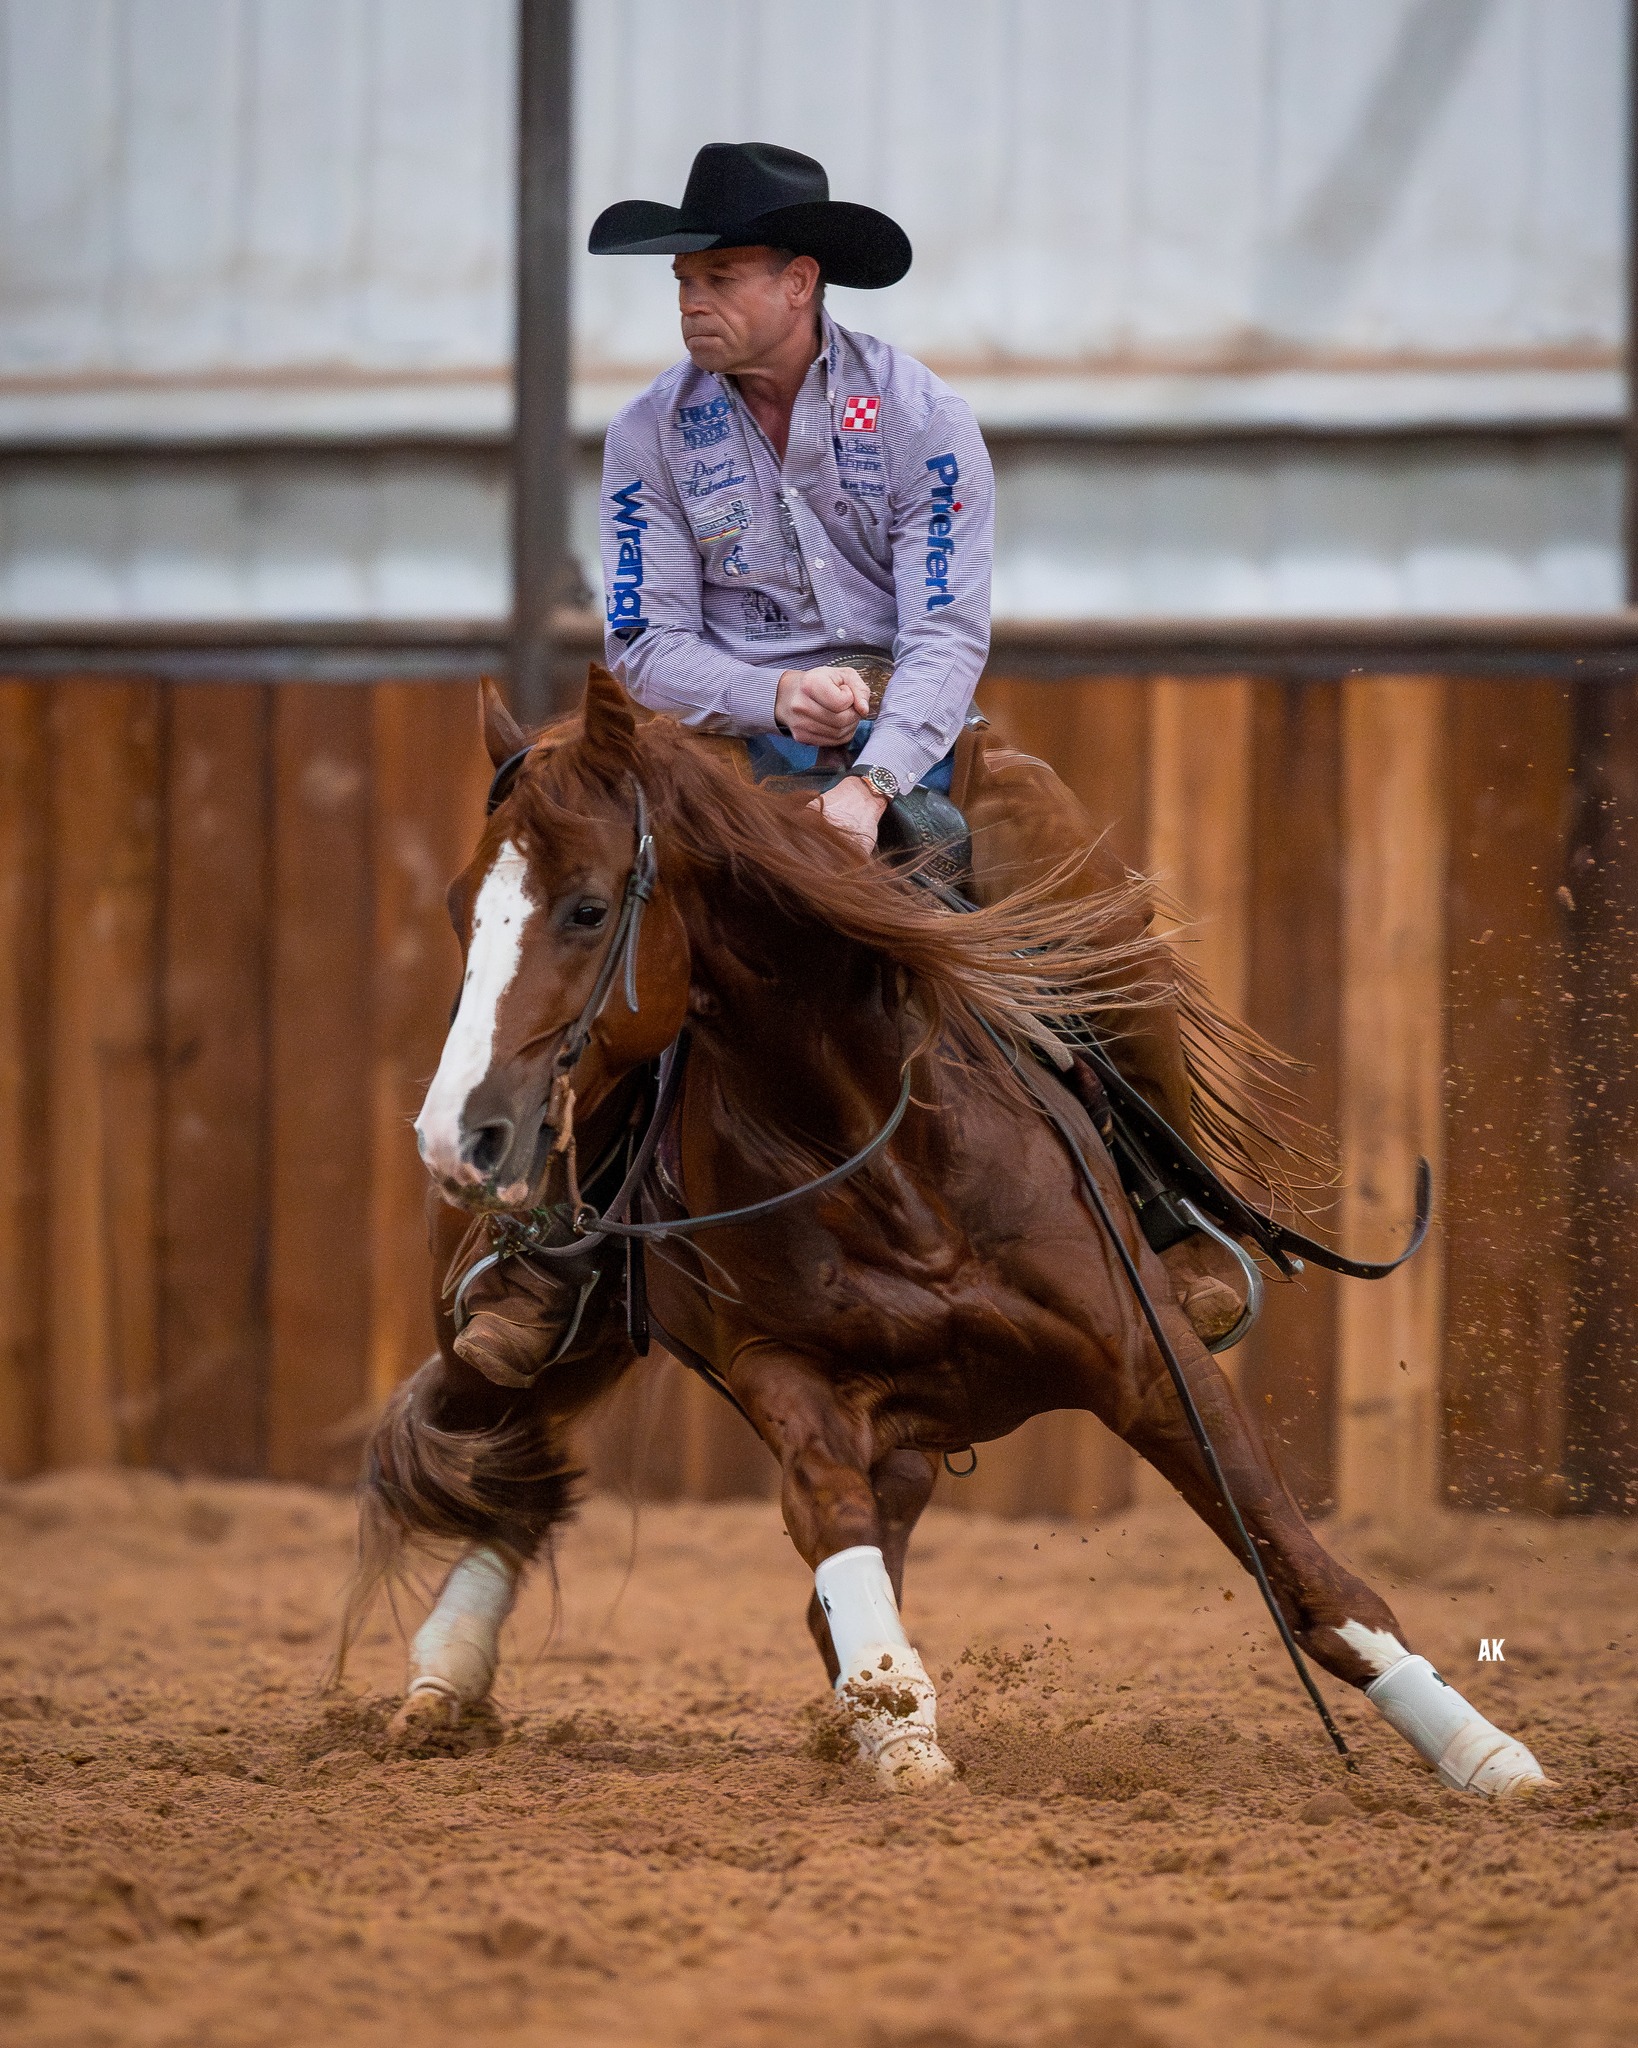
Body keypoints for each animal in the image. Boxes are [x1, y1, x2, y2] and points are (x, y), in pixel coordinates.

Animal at [341, 666, 1546, 1801]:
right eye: (458, 908)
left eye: (589, 909)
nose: (456, 1132)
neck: (874, 1138)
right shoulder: (783, 1371)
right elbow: (834, 1531)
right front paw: (903, 1732)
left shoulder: (1152, 1357)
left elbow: (1302, 1567)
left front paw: (1488, 1757)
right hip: (557, 1332)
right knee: (520, 1440)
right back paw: (444, 1672)